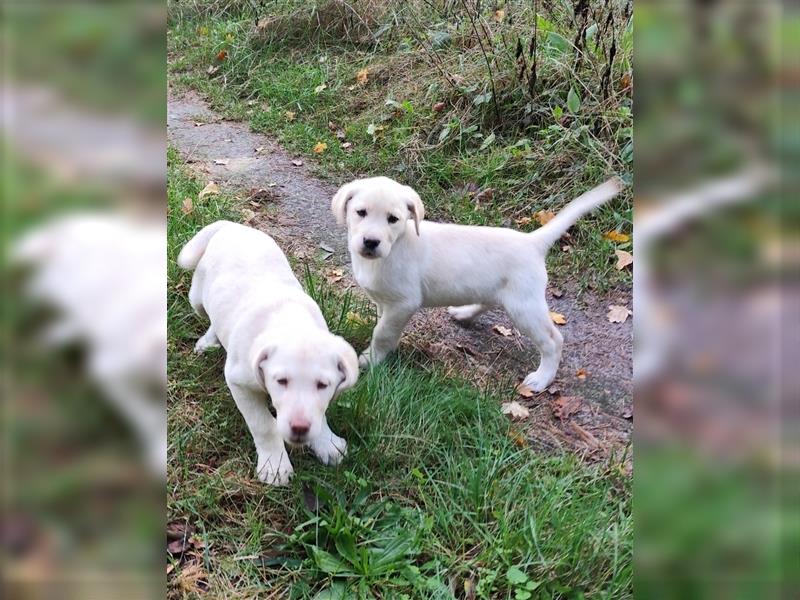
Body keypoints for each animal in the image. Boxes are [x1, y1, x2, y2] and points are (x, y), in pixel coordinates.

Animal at [181, 223, 360, 486]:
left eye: (322, 385)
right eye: (281, 381)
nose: (300, 428)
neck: (290, 319)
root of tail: (231, 225)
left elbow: (320, 413)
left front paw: (327, 443)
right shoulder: (239, 383)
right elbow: (264, 425)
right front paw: (275, 465)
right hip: (197, 298)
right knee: (209, 314)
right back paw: (208, 341)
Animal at [332, 177, 624, 394]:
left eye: (393, 219)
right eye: (361, 213)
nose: (371, 242)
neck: (395, 247)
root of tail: (532, 241)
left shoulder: (404, 303)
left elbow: (382, 333)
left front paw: (371, 359)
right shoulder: (386, 302)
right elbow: (383, 325)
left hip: (525, 307)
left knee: (554, 340)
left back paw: (542, 379)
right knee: (488, 301)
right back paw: (464, 313)